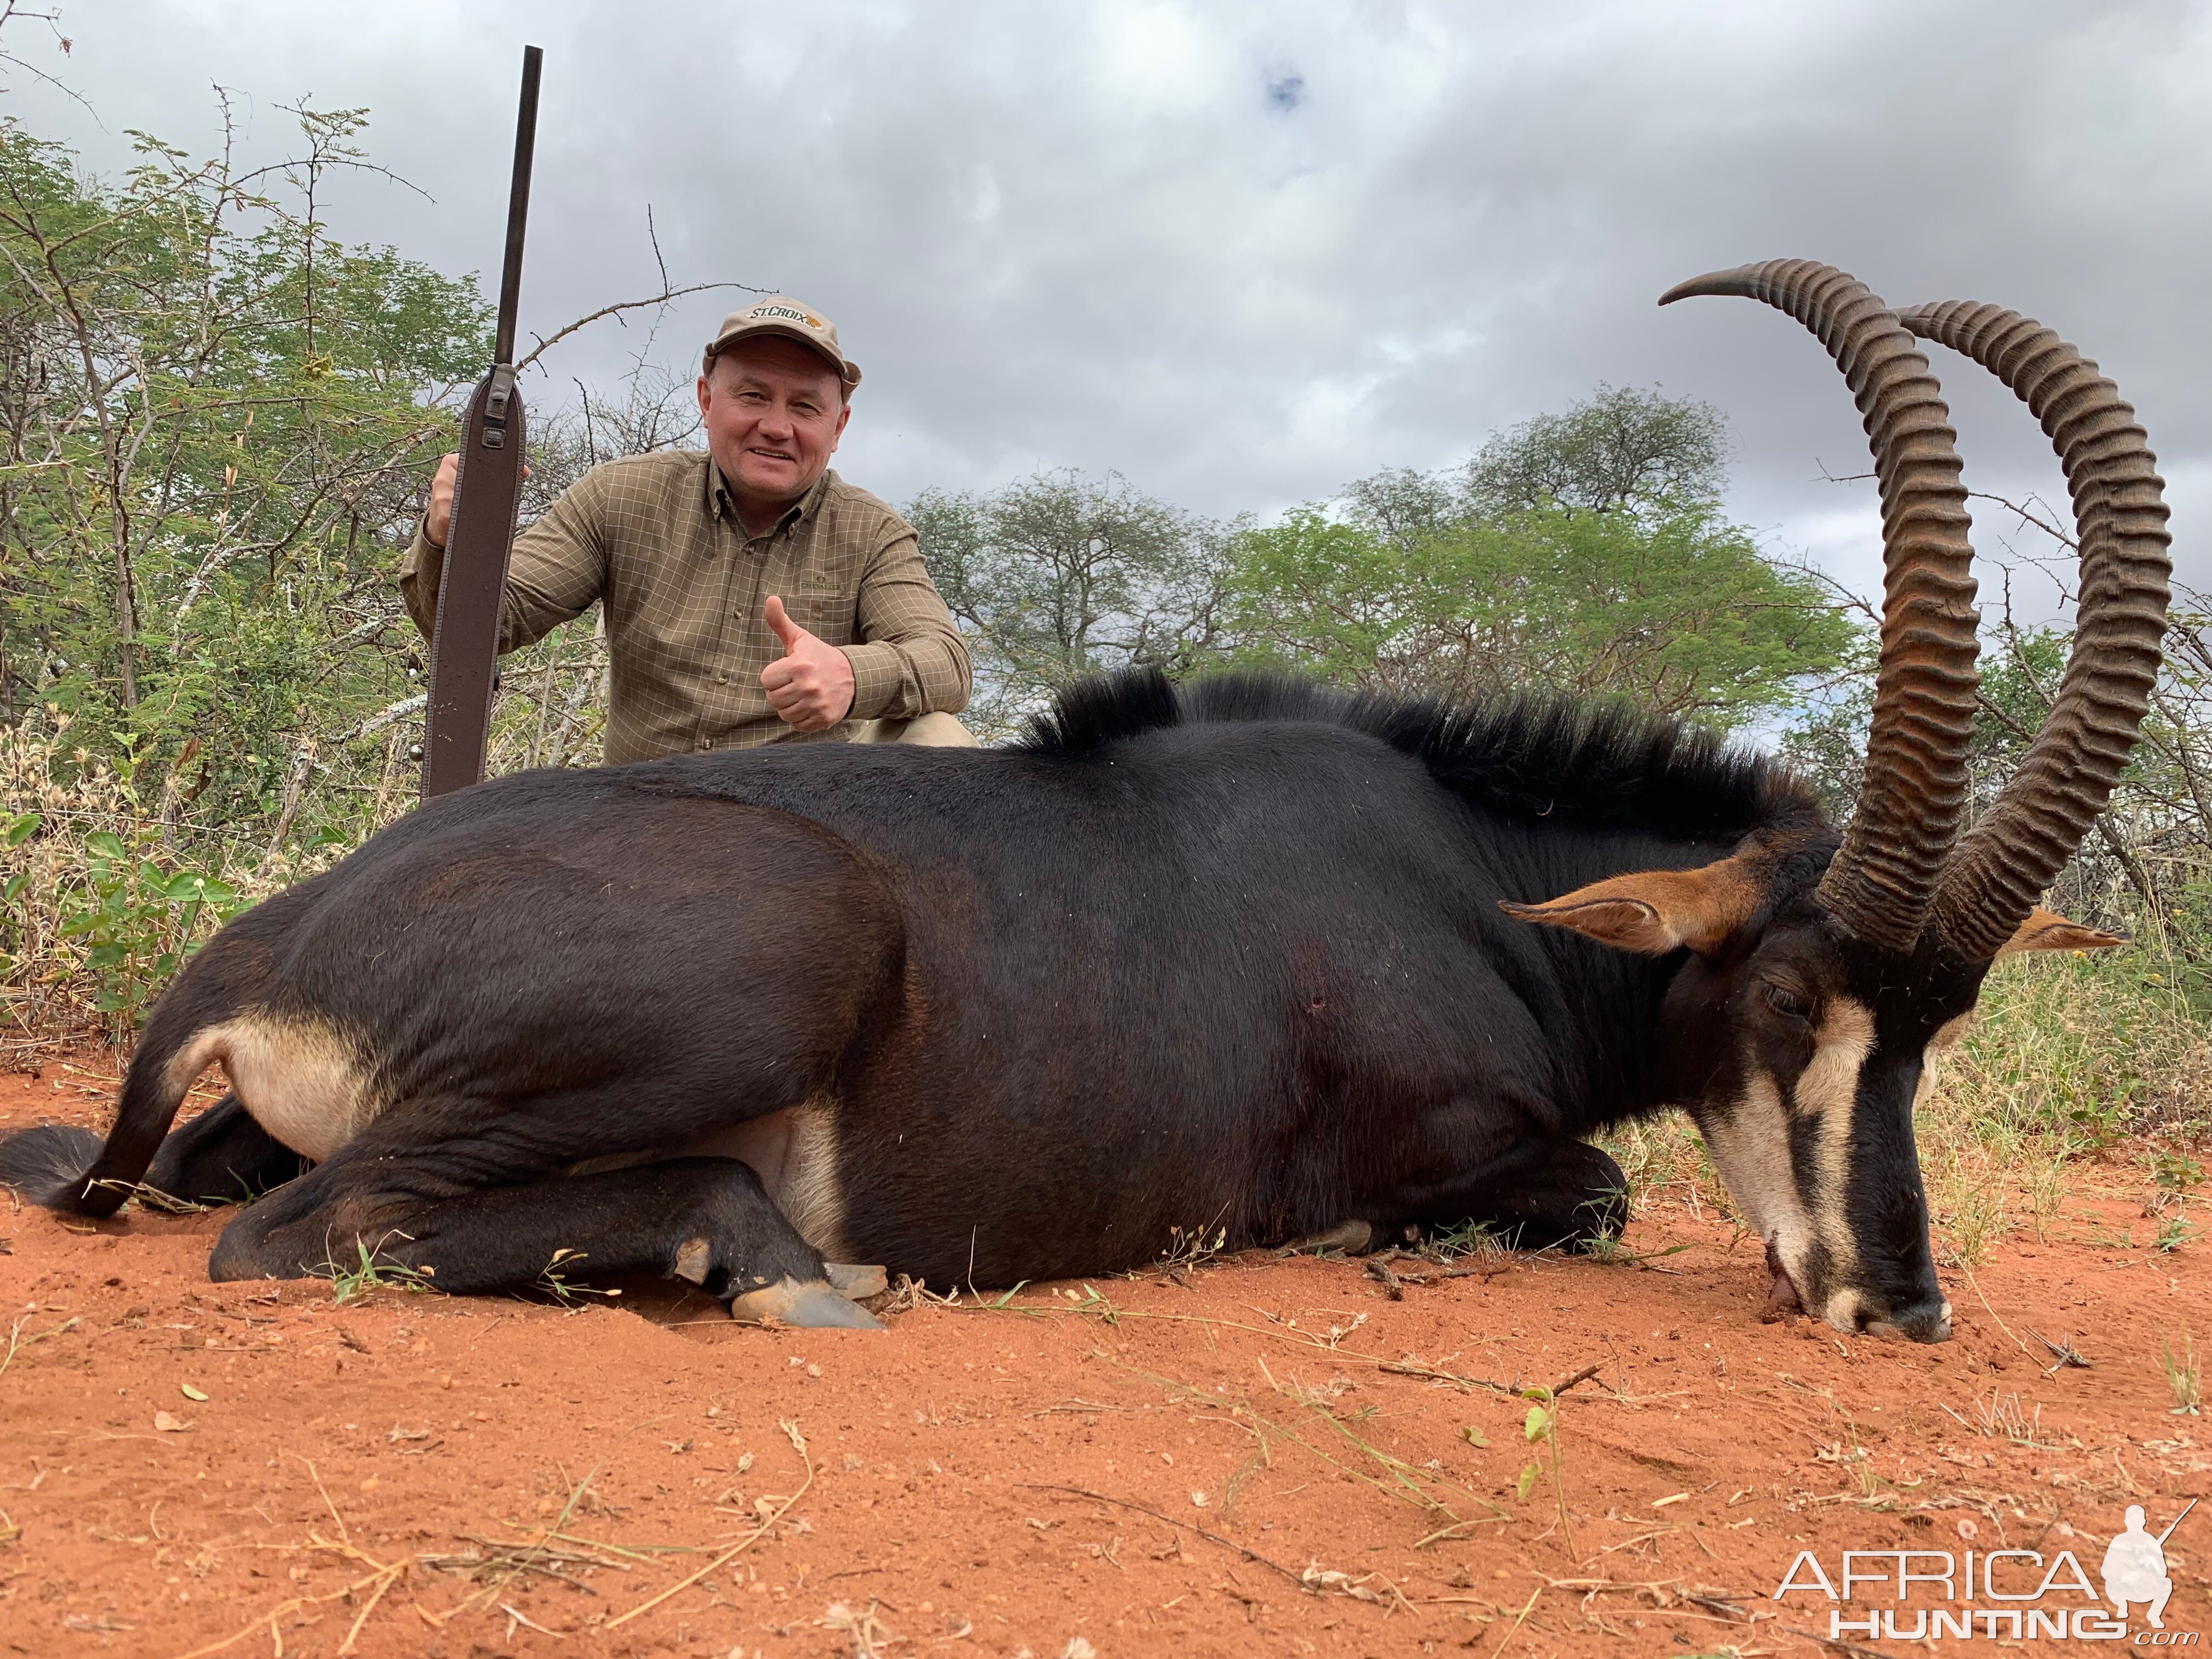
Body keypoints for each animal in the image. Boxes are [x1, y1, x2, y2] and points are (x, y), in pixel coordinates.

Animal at [0, 259, 2168, 1336]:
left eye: (1944, 1026)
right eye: (1790, 995)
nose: (1898, 1302)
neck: (1460, 875)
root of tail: (266, 940)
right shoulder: (1451, 1144)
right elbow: (1596, 1190)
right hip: (769, 957)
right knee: (308, 1235)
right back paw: (788, 1265)